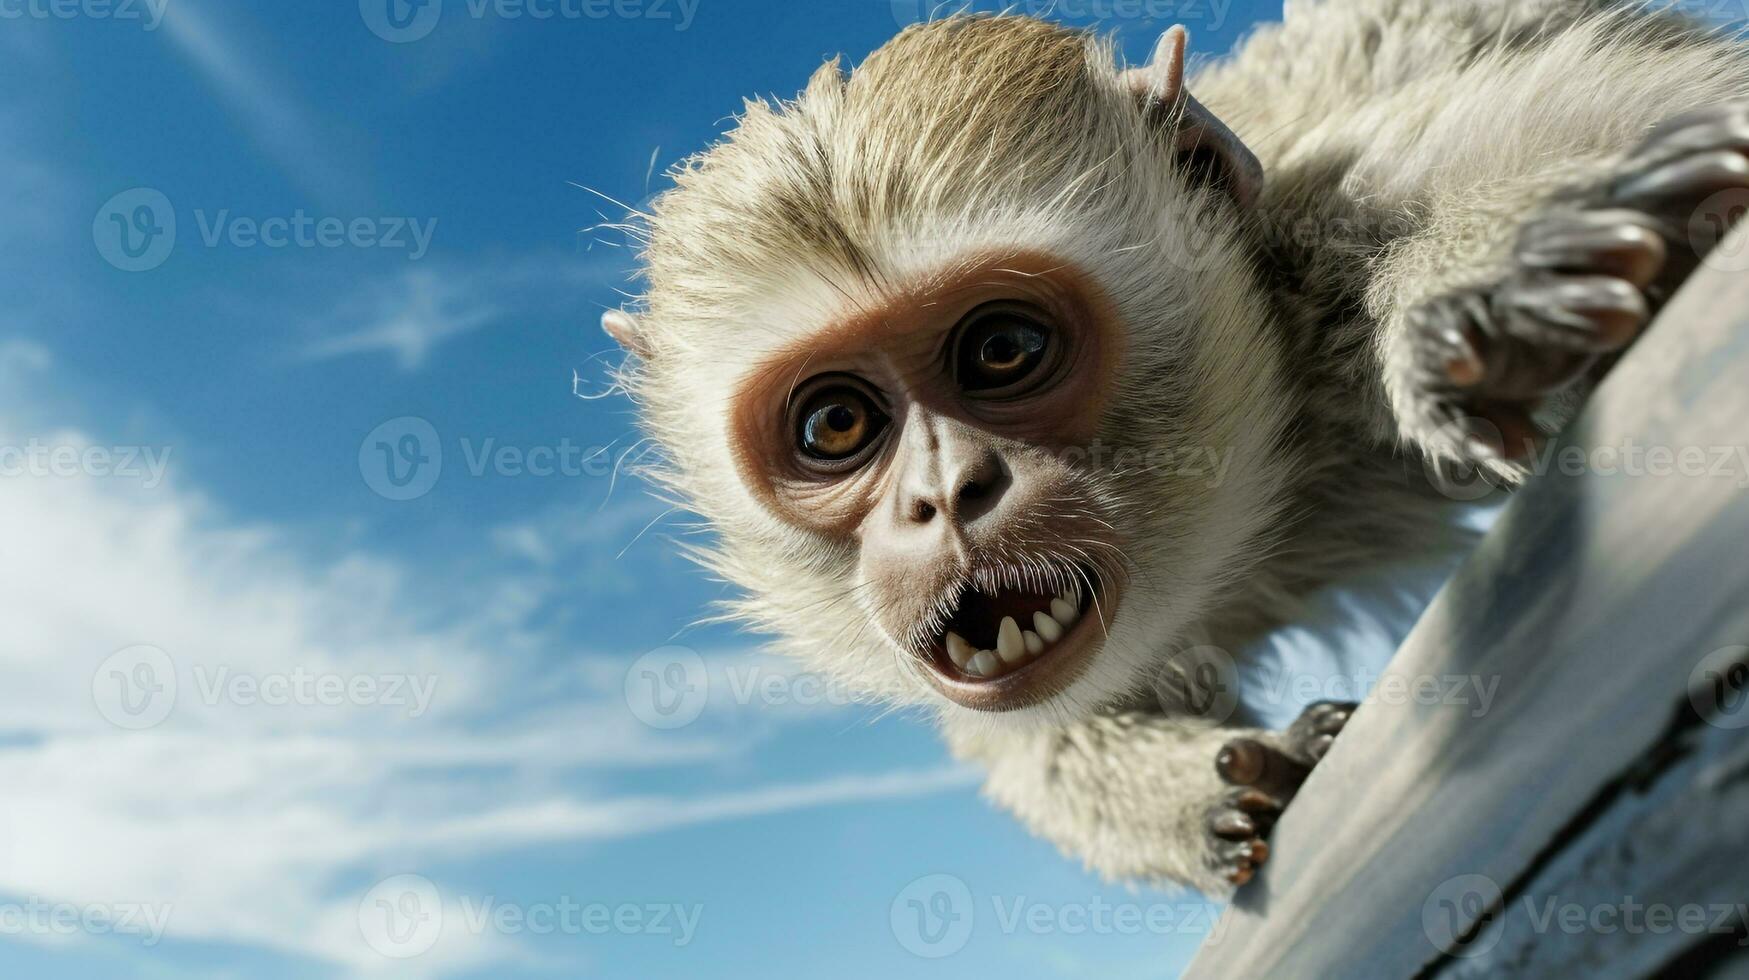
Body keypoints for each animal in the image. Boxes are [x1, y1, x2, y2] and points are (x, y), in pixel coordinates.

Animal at [598, 1, 1749, 896]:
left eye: (1003, 349)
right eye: (836, 425)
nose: (947, 492)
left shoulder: (1328, 211)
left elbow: (1662, 119)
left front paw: (1480, 284)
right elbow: (1038, 735)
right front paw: (1226, 795)